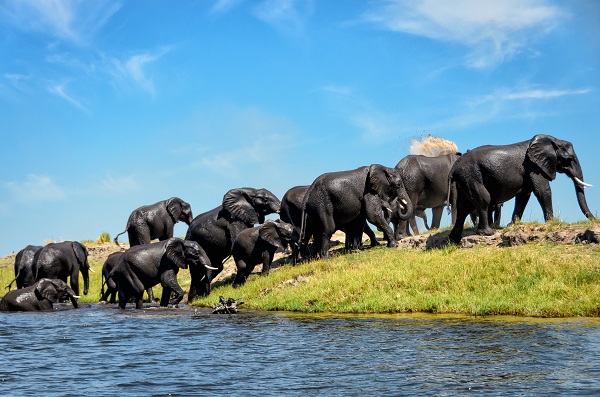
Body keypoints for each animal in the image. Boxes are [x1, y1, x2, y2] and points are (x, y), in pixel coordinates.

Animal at [448, 135, 592, 243]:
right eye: (570, 159)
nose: (594, 219)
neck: (553, 140)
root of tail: (454, 168)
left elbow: (523, 196)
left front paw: (513, 225)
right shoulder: (534, 167)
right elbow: (542, 190)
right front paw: (552, 223)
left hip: (465, 179)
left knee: (463, 207)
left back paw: (453, 239)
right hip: (472, 175)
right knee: (483, 200)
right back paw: (488, 233)